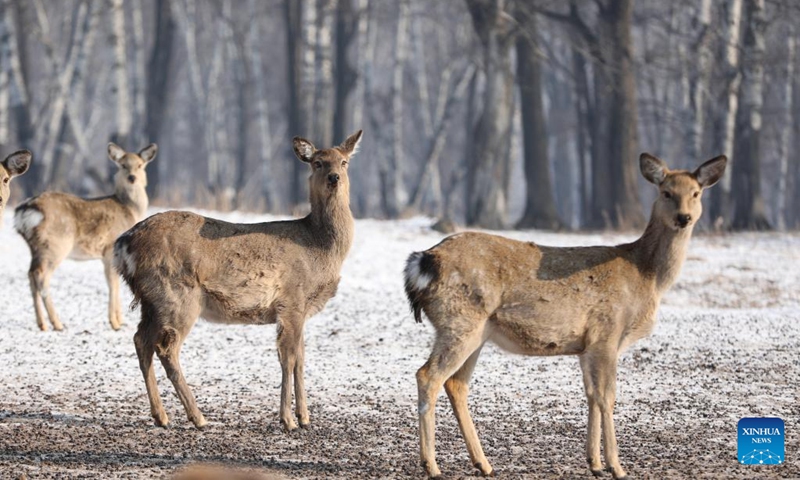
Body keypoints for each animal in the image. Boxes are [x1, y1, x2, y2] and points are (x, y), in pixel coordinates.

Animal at [14, 142, 156, 330]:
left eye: (140, 165)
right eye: (123, 165)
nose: (132, 177)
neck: (130, 209)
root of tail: (27, 211)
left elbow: (116, 283)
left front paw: (120, 320)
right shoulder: (109, 249)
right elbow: (112, 284)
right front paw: (115, 323)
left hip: (36, 247)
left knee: (30, 274)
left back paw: (42, 324)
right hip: (56, 244)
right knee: (41, 276)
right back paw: (57, 323)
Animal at [111, 129, 360, 430]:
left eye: (344, 161)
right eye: (318, 163)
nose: (334, 177)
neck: (319, 248)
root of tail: (124, 243)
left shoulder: (300, 310)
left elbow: (301, 359)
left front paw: (305, 417)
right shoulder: (291, 300)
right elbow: (288, 359)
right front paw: (288, 419)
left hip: (151, 300)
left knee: (140, 340)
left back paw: (161, 416)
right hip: (176, 295)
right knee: (165, 347)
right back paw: (198, 417)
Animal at [404, 154, 728, 480]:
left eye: (696, 193)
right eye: (666, 192)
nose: (684, 217)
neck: (647, 277)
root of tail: (424, 262)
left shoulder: (586, 346)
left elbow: (591, 395)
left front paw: (594, 463)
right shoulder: (607, 332)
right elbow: (608, 397)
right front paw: (616, 466)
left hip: (476, 331)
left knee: (456, 384)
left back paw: (483, 464)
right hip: (459, 321)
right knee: (428, 375)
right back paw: (432, 465)